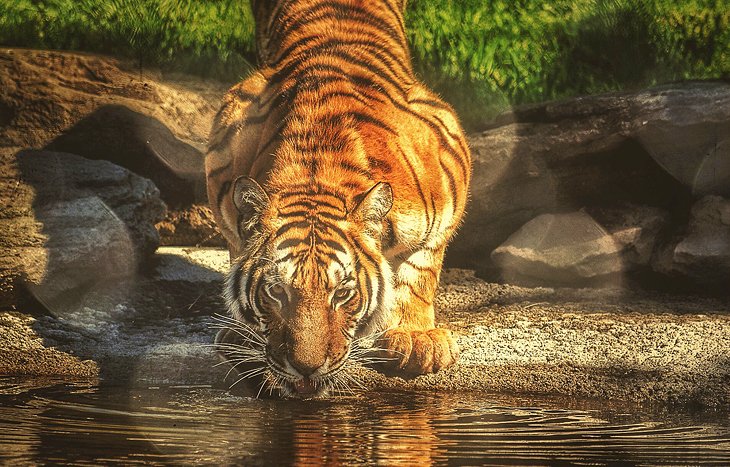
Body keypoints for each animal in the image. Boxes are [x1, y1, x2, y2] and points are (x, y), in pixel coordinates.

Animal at [206, 0, 466, 398]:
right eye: (277, 292)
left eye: (342, 294)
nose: (306, 368)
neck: (316, 172)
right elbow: (237, 249)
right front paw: (243, 336)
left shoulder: (448, 159)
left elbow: (421, 267)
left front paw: (416, 339)